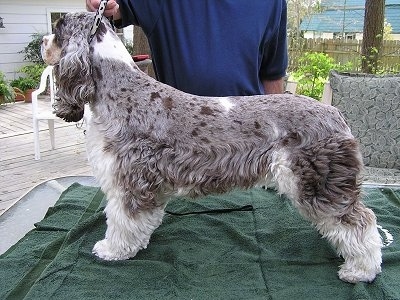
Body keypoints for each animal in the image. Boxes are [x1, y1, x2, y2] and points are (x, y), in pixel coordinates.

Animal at [42, 12, 382, 284]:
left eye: (58, 29)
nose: (42, 42)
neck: (119, 88)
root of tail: (336, 114)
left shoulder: (130, 182)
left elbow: (122, 221)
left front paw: (112, 250)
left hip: (317, 185)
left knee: (359, 223)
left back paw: (360, 270)